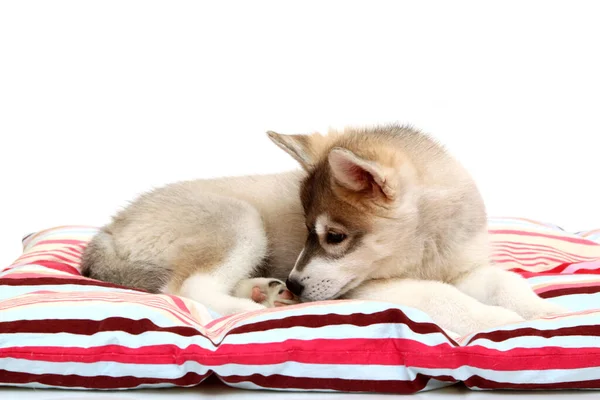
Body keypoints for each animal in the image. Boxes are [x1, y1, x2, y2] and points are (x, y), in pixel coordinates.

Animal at [81, 124, 568, 334]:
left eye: (333, 237)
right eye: (306, 230)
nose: (297, 285)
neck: (430, 246)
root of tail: (109, 230)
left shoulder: (468, 269)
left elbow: (506, 281)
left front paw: (542, 311)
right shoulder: (371, 285)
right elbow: (440, 297)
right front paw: (492, 320)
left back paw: (264, 291)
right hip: (238, 220)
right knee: (187, 288)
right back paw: (257, 307)